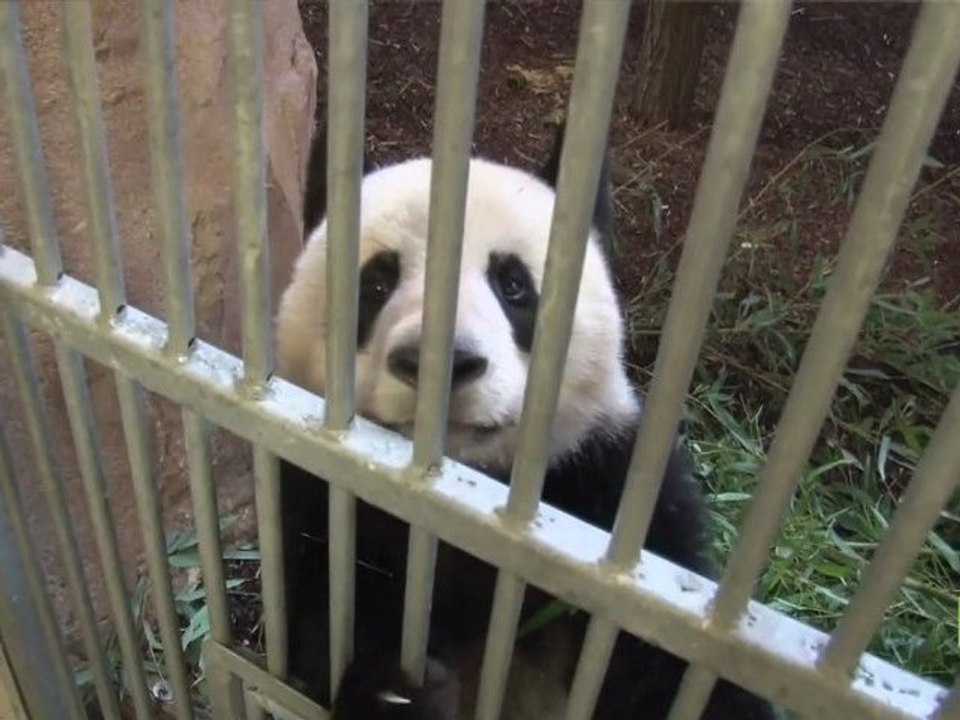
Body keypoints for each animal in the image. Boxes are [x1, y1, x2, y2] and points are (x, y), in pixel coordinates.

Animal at [274, 122, 778, 720]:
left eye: (512, 284)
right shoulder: (328, 510)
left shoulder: (608, 482)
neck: (467, 489)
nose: (440, 362)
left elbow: (674, 667)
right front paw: (398, 694)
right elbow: (316, 636)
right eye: (377, 282)